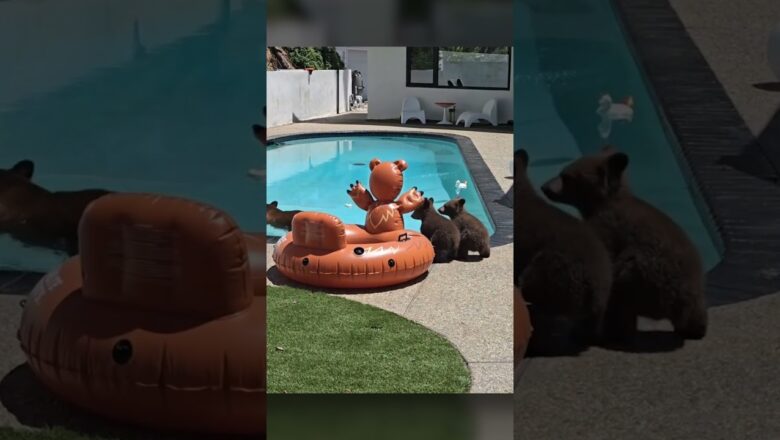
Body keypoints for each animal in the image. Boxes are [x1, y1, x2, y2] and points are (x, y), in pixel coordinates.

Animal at [544, 146, 708, 342]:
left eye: (566, 176)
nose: (545, 187)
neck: (602, 203)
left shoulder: (606, 227)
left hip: (650, 276)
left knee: (622, 285)